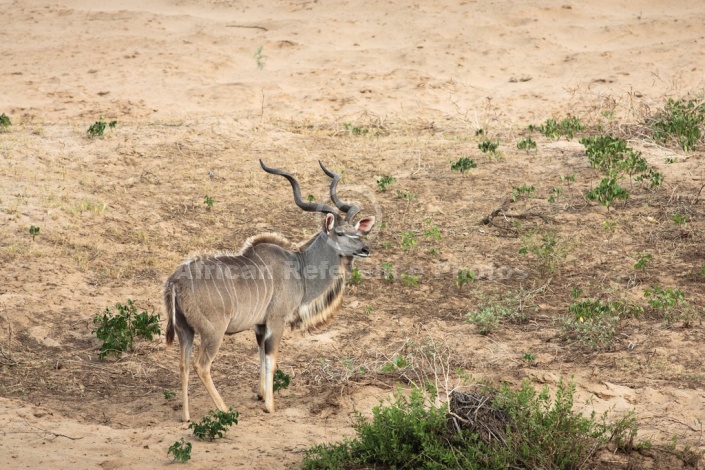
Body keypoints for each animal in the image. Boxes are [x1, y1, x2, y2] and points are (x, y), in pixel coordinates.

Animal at [164, 160, 374, 420]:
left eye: (358, 231)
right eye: (341, 233)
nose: (365, 249)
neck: (299, 266)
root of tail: (175, 282)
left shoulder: (260, 324)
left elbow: (260, 355)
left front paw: (261, 394)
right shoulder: (276, 320)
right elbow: (271, 360)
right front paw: (269, 406)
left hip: (185, 330)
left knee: (183, 364)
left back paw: (186, 416)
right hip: (213, 332)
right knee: (201, 365)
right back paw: (224, 409)